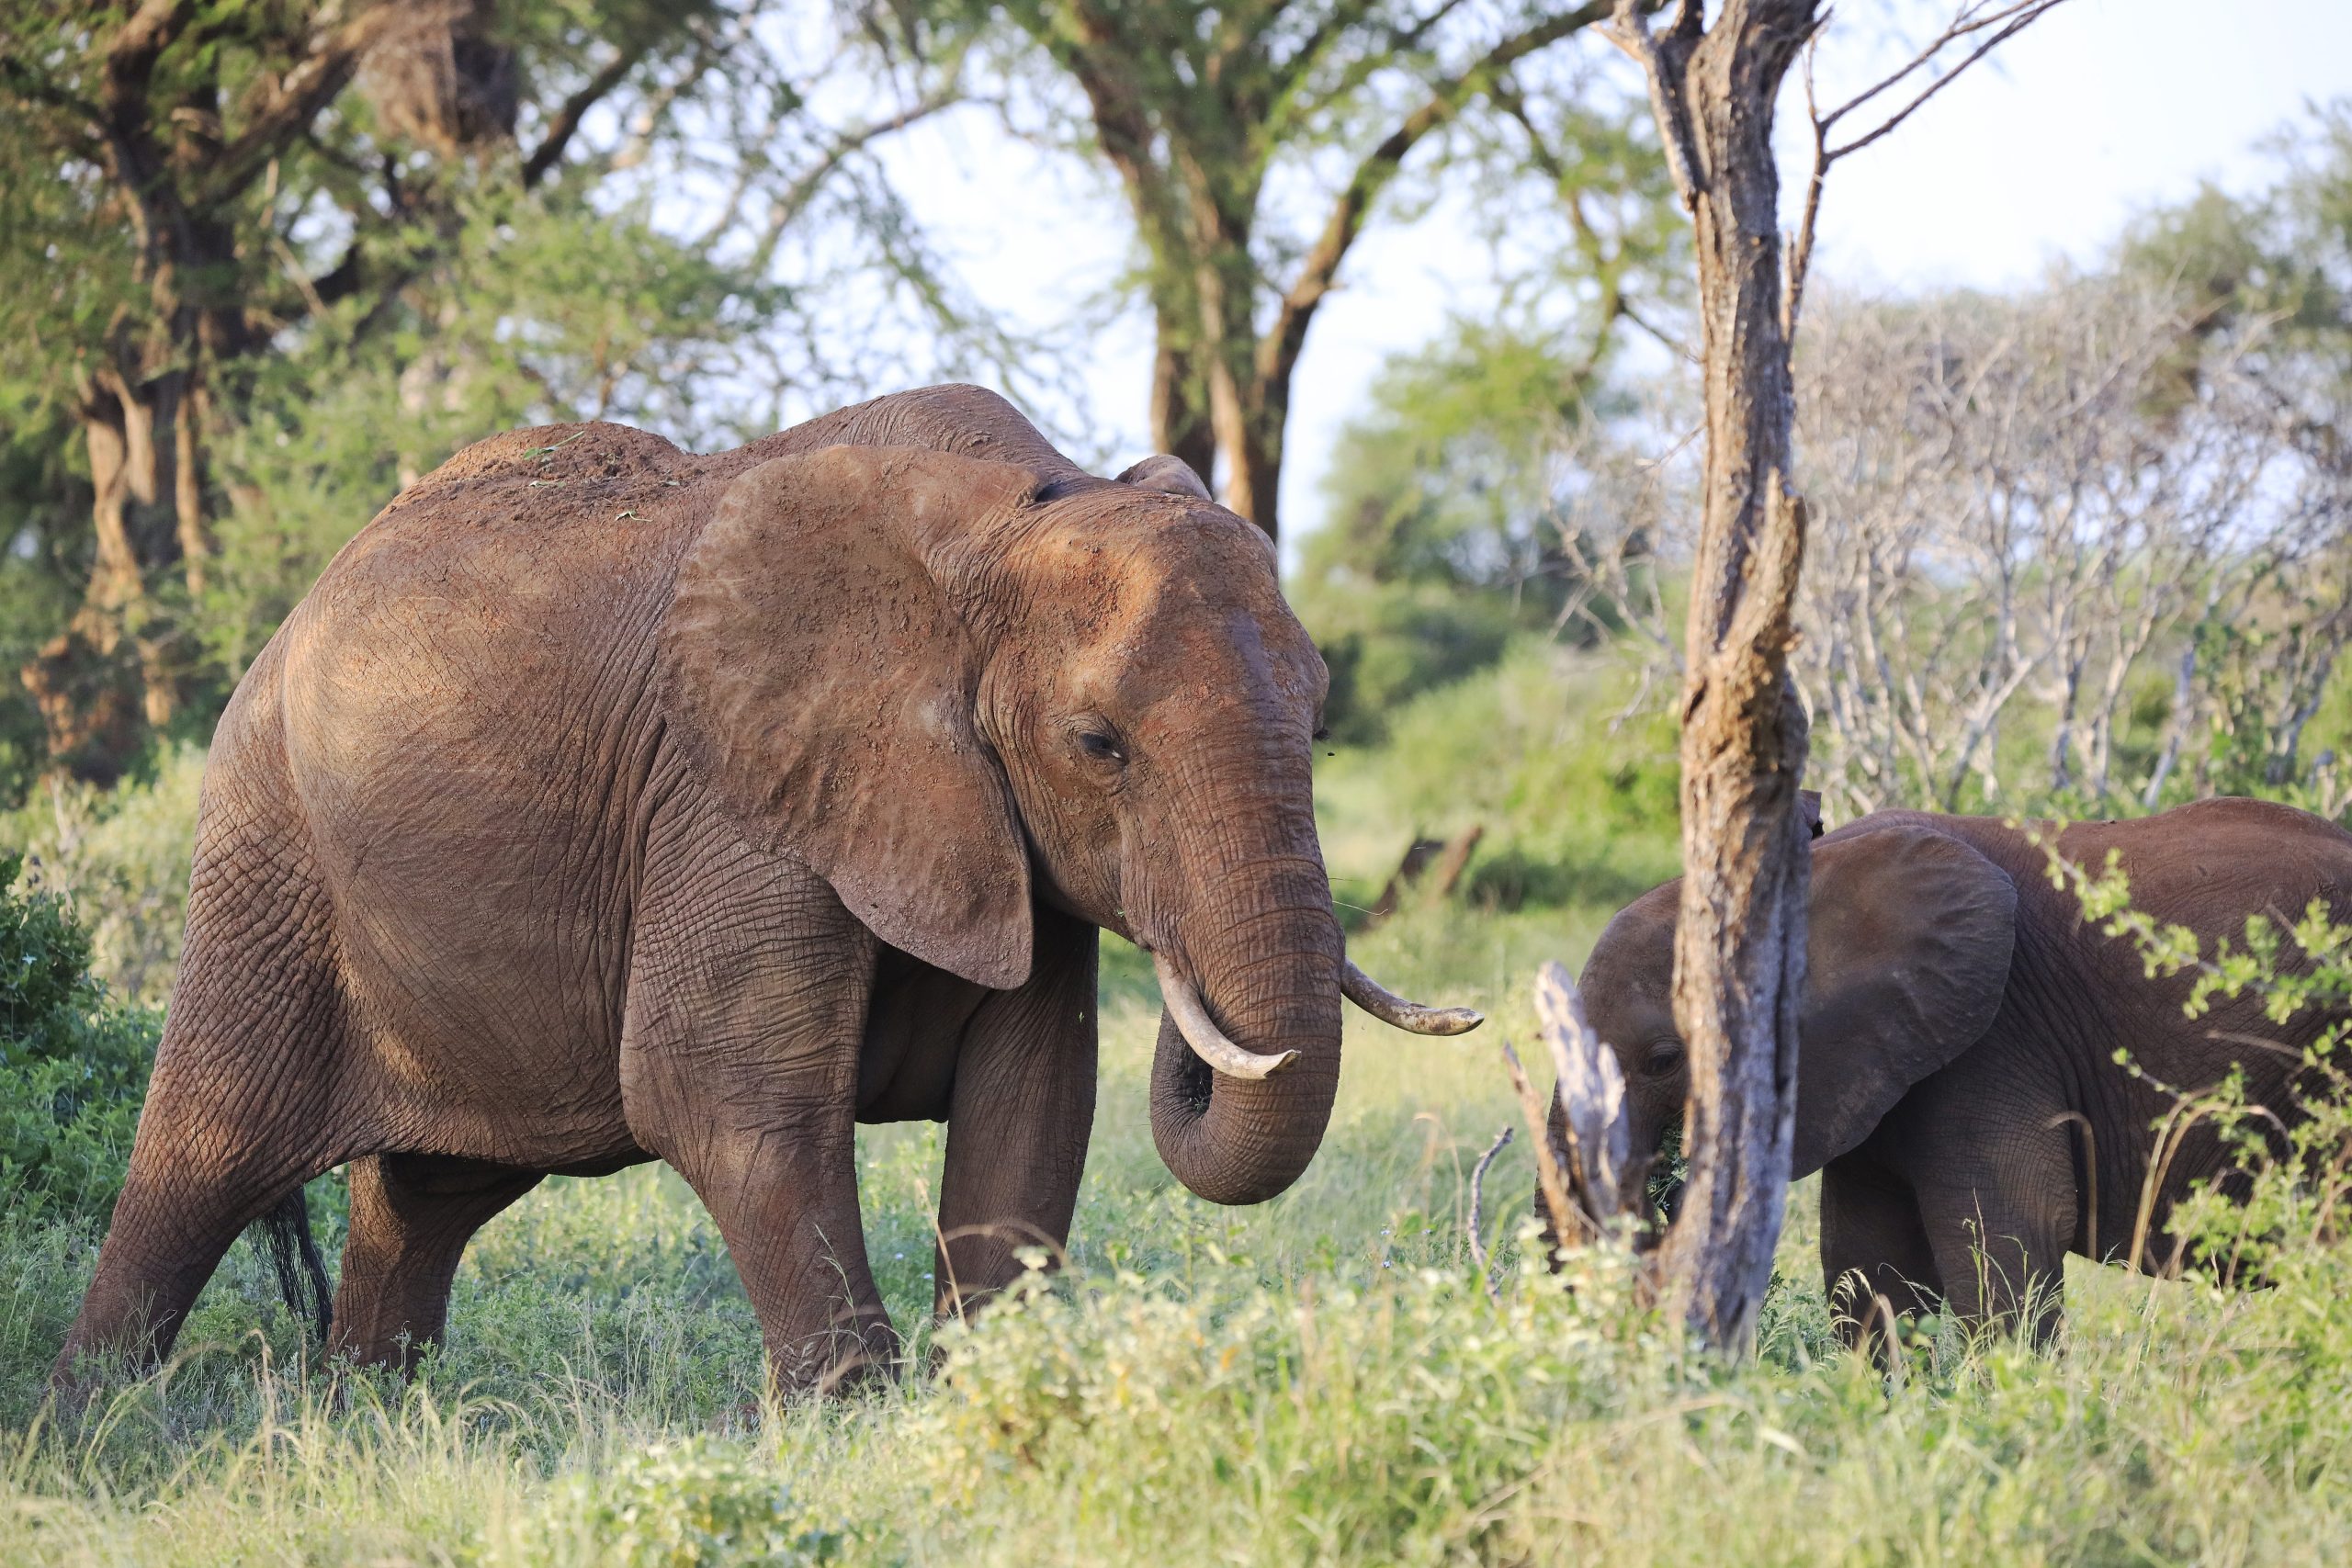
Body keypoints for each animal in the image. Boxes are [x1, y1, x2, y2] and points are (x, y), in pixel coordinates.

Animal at [56, 384, 1478, 1395]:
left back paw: (370, 1417)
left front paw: (994, 1392)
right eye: (1098, 746)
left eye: (1321, 718)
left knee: (422, 1199)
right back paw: (95, 1429)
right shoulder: (729, 792)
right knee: (202, 1153)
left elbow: (1033, 1103)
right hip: (266, 847)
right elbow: (720, 1092)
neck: (1007, 514)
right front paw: (862, 1417)